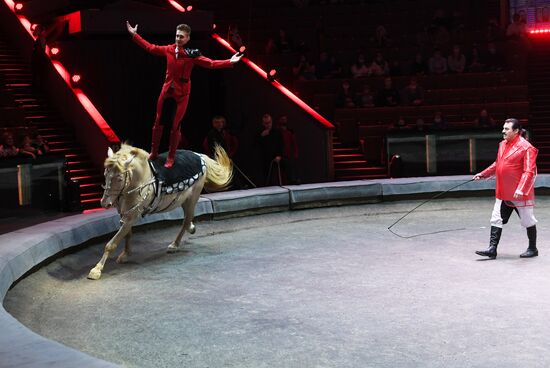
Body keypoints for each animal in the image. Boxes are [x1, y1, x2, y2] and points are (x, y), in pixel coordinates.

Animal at [89, 143, 232, 278]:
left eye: (119, 178)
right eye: (105, 174)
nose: (104, 203)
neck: (140, 180)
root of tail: (200, 156)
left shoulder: (132, 216)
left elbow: (112, 243)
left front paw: (96, 270)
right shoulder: (125, 214)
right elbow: (127, 235)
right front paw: (125, 254)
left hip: (192, 198)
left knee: (186, 220)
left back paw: (175, 244)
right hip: (184, 200)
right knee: (188, 219)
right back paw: (190, 229)